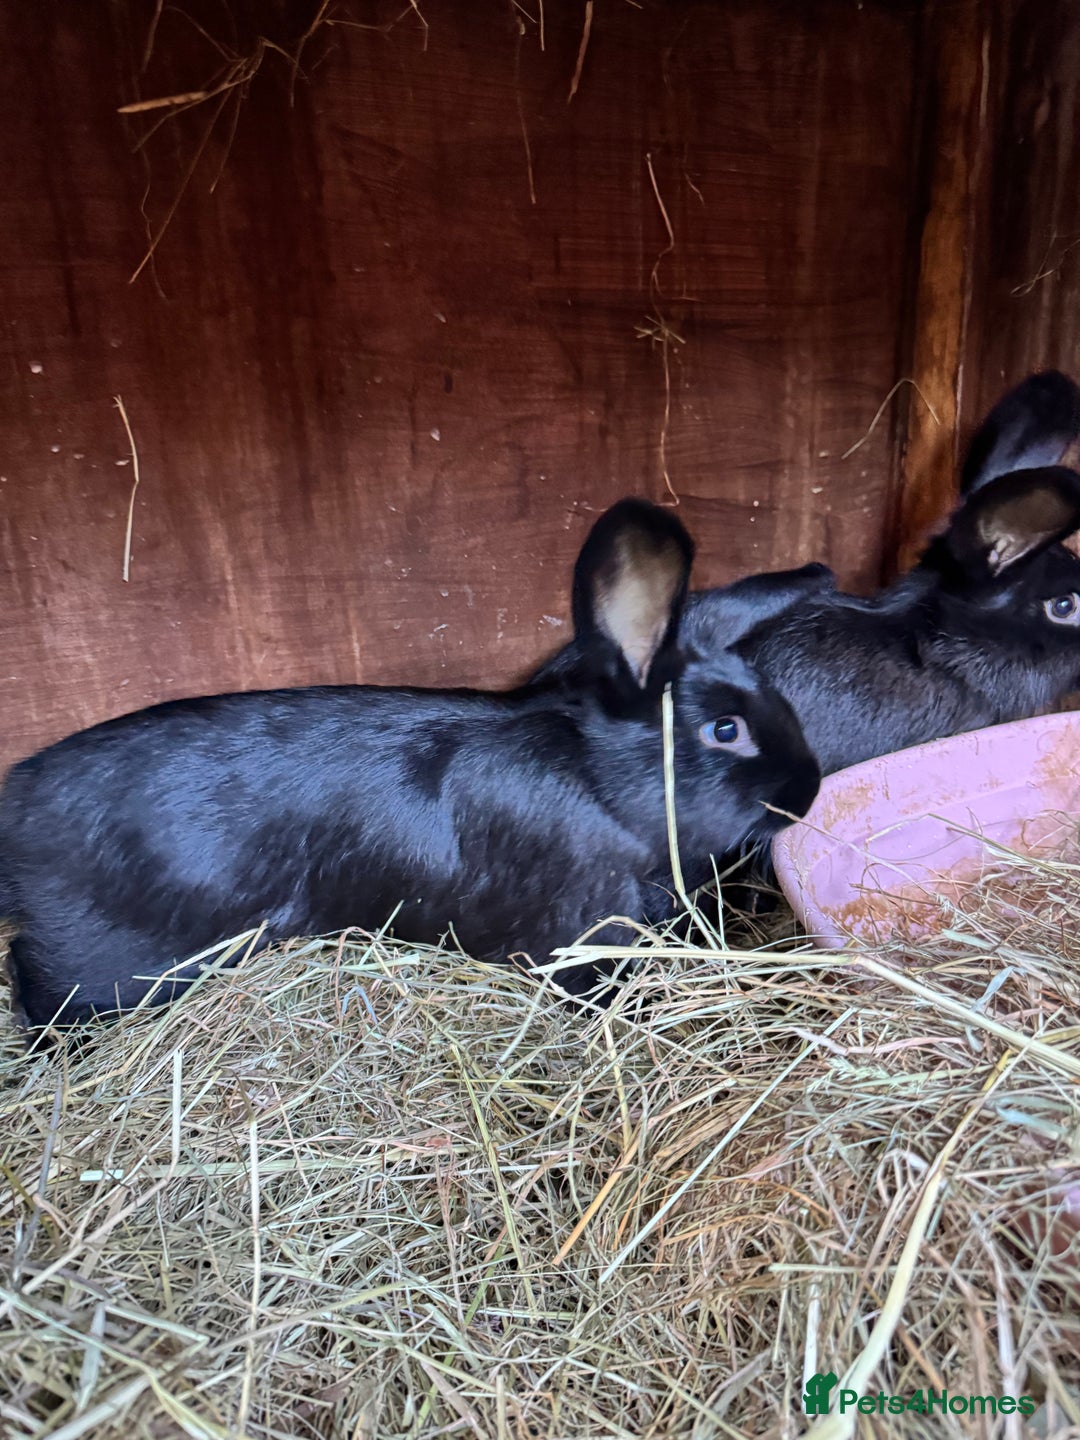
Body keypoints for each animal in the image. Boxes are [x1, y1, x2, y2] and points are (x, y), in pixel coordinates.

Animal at [0, 498, 820, 1029]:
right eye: (725, 730)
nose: (808, 791)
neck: (598, 784)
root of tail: (16, 811)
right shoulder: (583, 929)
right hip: (119, 959)